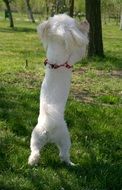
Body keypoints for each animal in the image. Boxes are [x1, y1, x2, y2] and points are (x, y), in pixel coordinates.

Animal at [28, 13, 89, 166]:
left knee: (35, 151)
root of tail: (49, 127)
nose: (82, 20)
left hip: (36, 137)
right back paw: (72, 164)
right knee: (64, 155)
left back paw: (32, 161)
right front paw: (85, 26)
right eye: (73, 21)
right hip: (65, 138)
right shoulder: (74, 55)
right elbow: (81, 42)